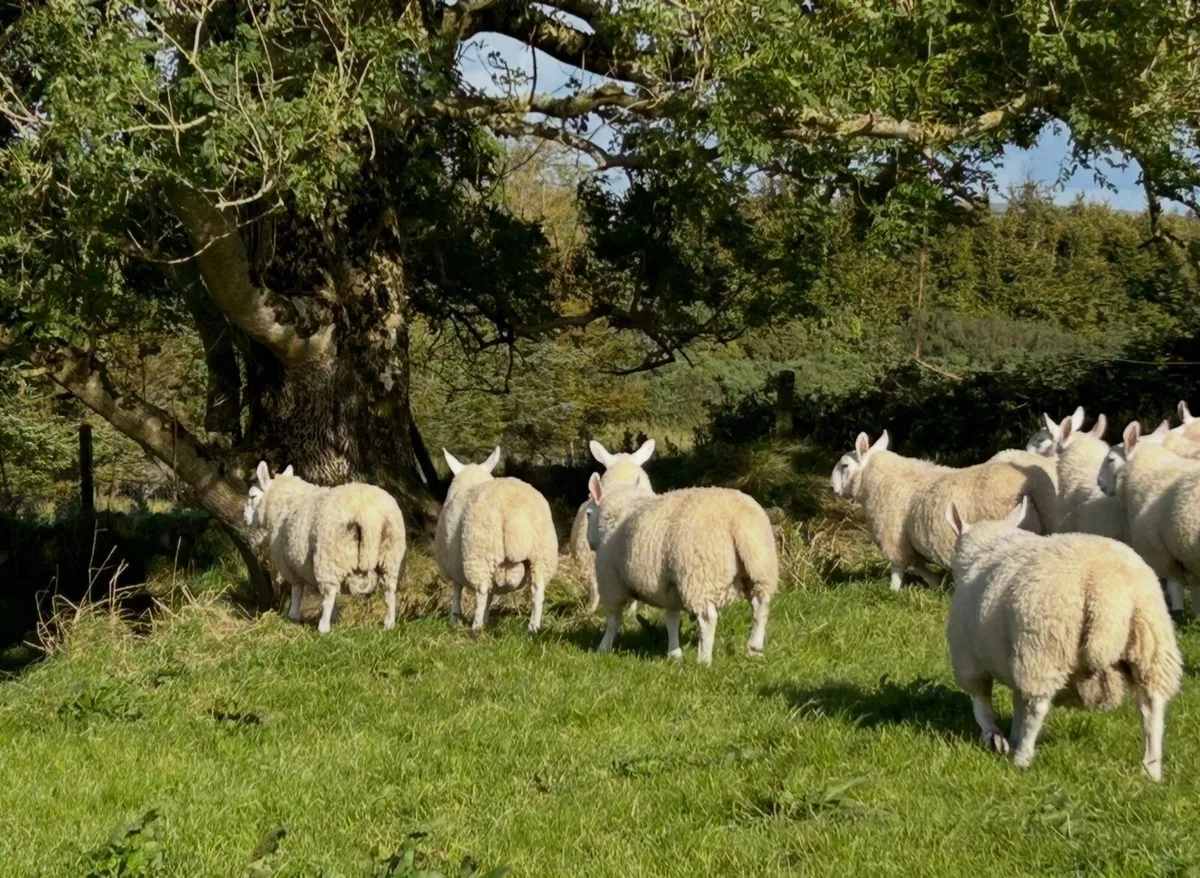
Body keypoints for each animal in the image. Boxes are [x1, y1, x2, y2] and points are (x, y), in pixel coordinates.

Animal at [243, 462, 407, 634]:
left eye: (252, 496)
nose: (245, 518)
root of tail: (371, 516)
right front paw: (335, 618)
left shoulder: (289, 563)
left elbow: (297, 589)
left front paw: (293, 616)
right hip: (391, 556)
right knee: (389, 590)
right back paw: (389, 624)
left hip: (329, 557)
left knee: (329, 593)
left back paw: (323, 627)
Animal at [434, 447, 558, 634]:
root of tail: (515, 514)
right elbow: (491, 595)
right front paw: (485, 618)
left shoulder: (453, 564)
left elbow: (457, 591)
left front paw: (454, 618)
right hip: (541, 555)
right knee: (538, 591)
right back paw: (533, 628)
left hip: (480, 553)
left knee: (481, 590)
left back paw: (476, 627)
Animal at [584, 473, 778, 665]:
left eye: (587, 514)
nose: (590, 543)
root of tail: (738, 521)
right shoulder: (670, 590)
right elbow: (672, 620)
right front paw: (674, 655)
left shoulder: (611, 581)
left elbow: (613, 619)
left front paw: (603, 648)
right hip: (760, 569)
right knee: (761, 605)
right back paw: (754, 648)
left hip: (699, 576)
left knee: (708, 618)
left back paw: (704, 660)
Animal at [830, 431, 1058, 590]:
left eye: (844, 465)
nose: (832, 486)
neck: (879, 479)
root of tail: (1037, 482)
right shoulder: (907, 538)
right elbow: (918, 564)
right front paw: (935, 583)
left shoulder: (893, 535)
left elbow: (900, 566)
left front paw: (894, 589)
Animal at [945, 497, 1182, 779]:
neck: (988, 546)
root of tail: (1106, 589)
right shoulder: (1013, 658)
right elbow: (1017, 702)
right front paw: (1011, 737)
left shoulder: (969, 659)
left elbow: (983, 704)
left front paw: (996, 738)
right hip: (1151, 642)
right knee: (1152, 707)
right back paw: (1151, 769)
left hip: (1043, 647)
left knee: (1038, 706)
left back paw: (1023, 758)